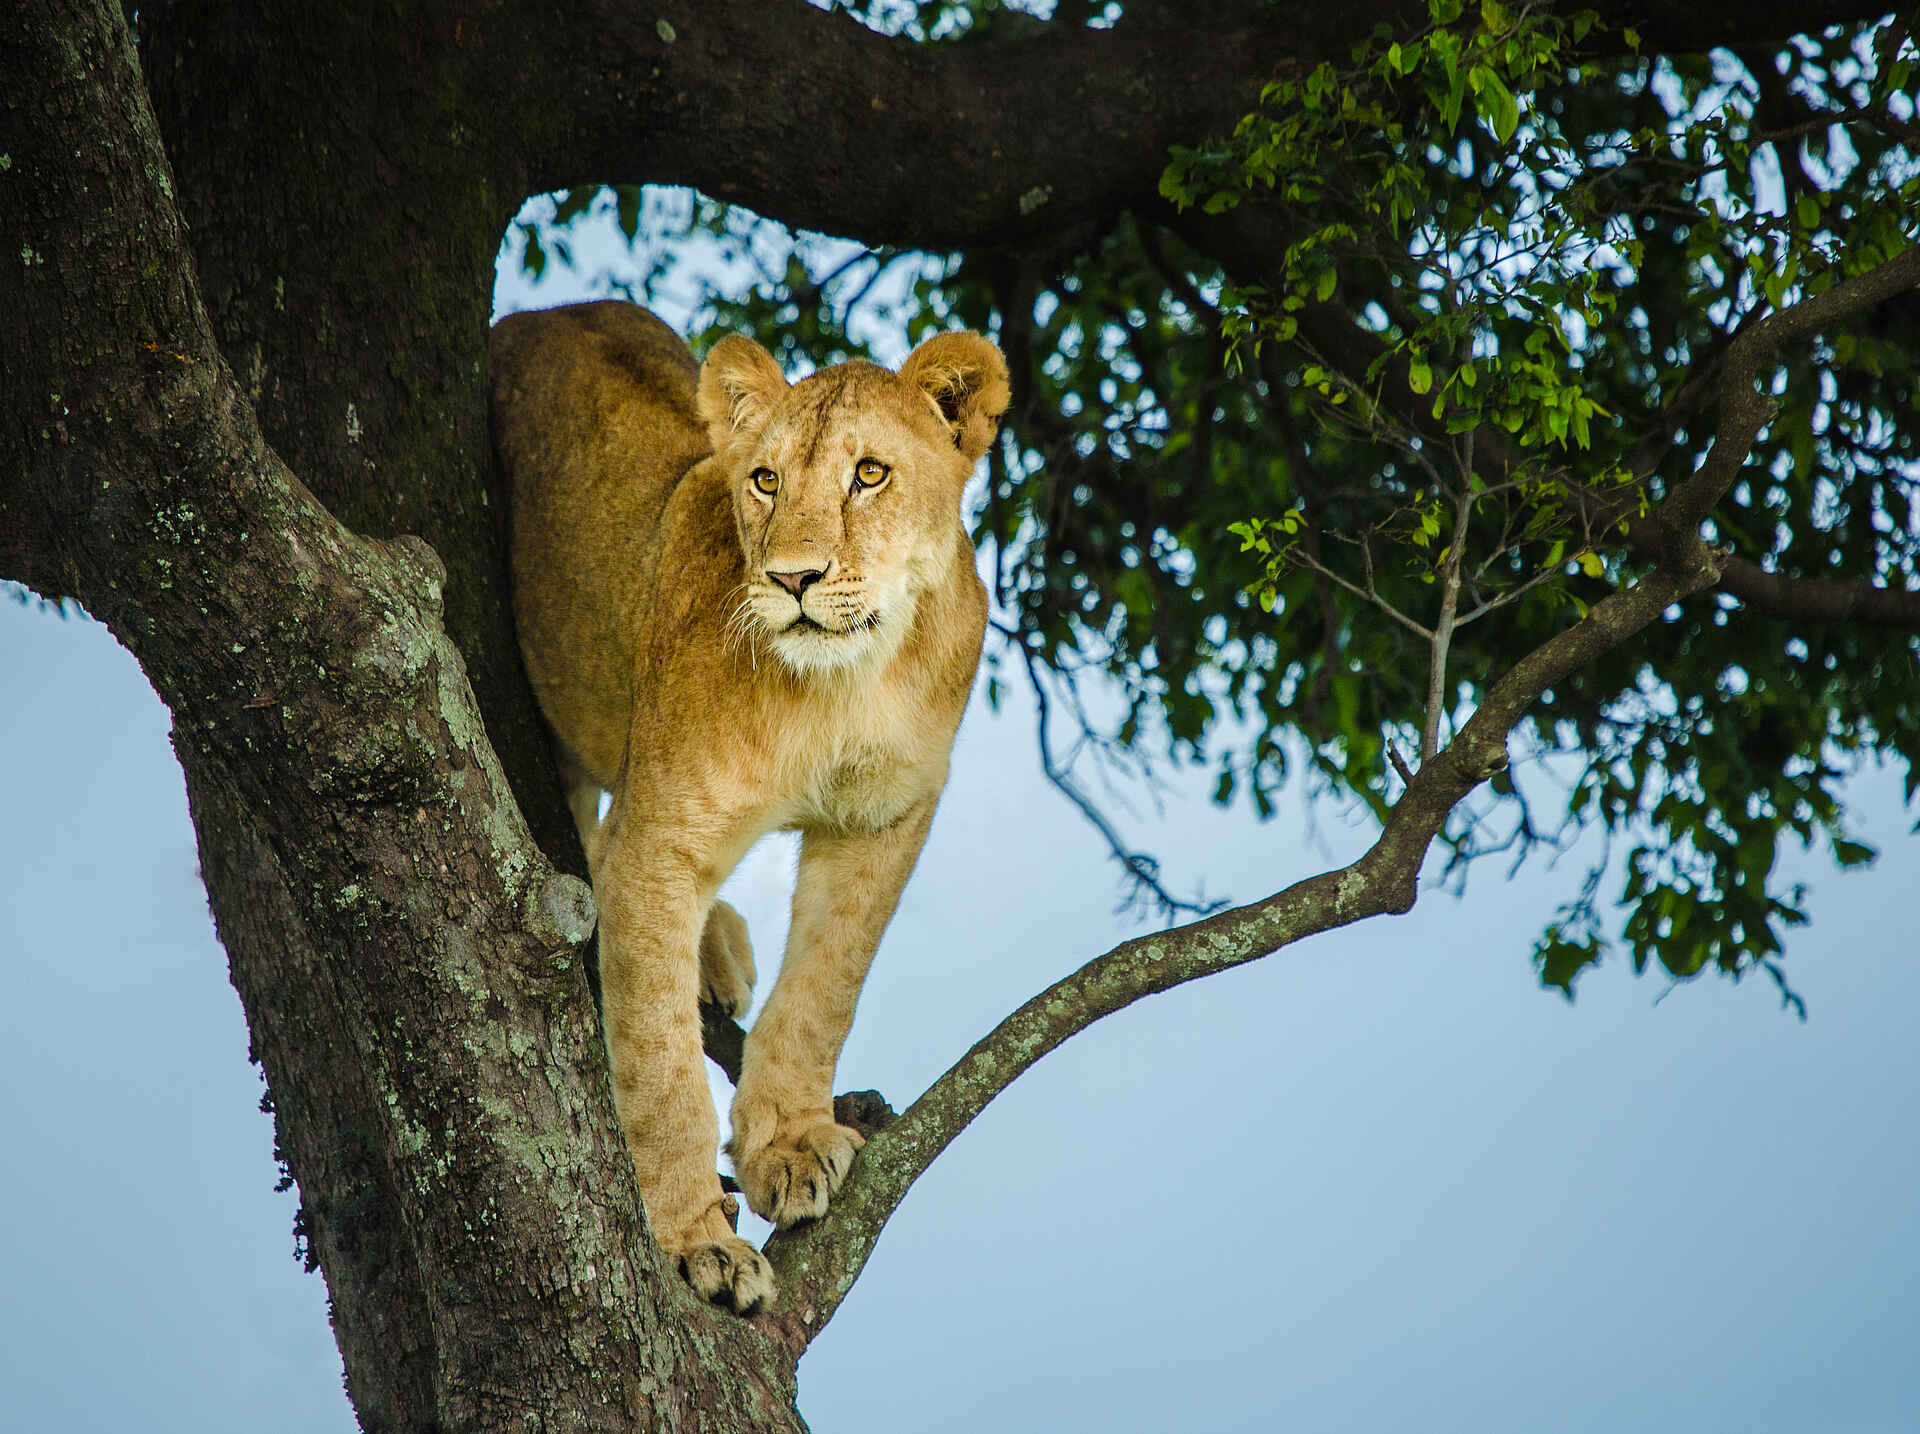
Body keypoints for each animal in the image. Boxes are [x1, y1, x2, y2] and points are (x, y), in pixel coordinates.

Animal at [490, 301, 1007, 1313]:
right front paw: (697, 1244)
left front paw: (788, 1146)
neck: (841, 685)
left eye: (869, 473)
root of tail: (541, 311)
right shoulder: (660, 837)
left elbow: (824, 990)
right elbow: (656, 1062)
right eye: (765, 481)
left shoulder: (884, 819)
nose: (793, 579)